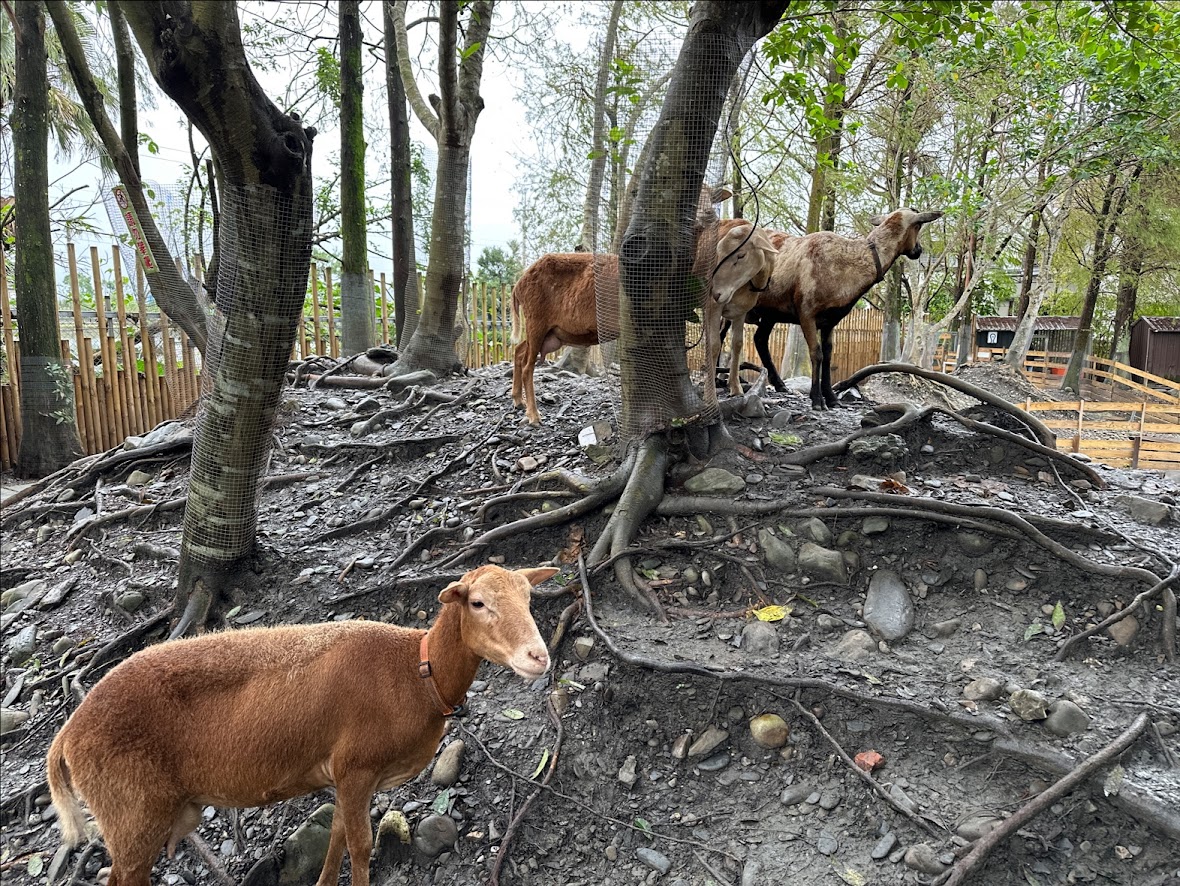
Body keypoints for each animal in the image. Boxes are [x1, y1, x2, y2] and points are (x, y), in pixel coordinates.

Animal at [47, 564, 557, 886]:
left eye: (530, 598)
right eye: (478, 603)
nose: (539, 657)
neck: (416, 673)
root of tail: (67, 735)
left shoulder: (345, 777)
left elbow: (336, 838)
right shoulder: (356, 767)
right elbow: (361, 847)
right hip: (131, 817)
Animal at [510, 185, 732, 426]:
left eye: (712, 198)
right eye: (692, 200)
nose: (708, 215)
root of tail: (518, 285)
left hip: (549, 331)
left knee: (519, 351)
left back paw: (517, 401)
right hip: (536, 320)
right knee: (527, 365)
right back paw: (533, 415)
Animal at [709, 208, 943, 408]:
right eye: (918, 225)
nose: (918, 250)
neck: (854, 262)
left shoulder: (831, 319)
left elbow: (829, 355)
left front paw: (831, 398)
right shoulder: (807, 312)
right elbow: (817, 354)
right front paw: (817, 400)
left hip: (769, 312)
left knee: (759, 339)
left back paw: (779, 384)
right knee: (721, 337)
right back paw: (722, 381)